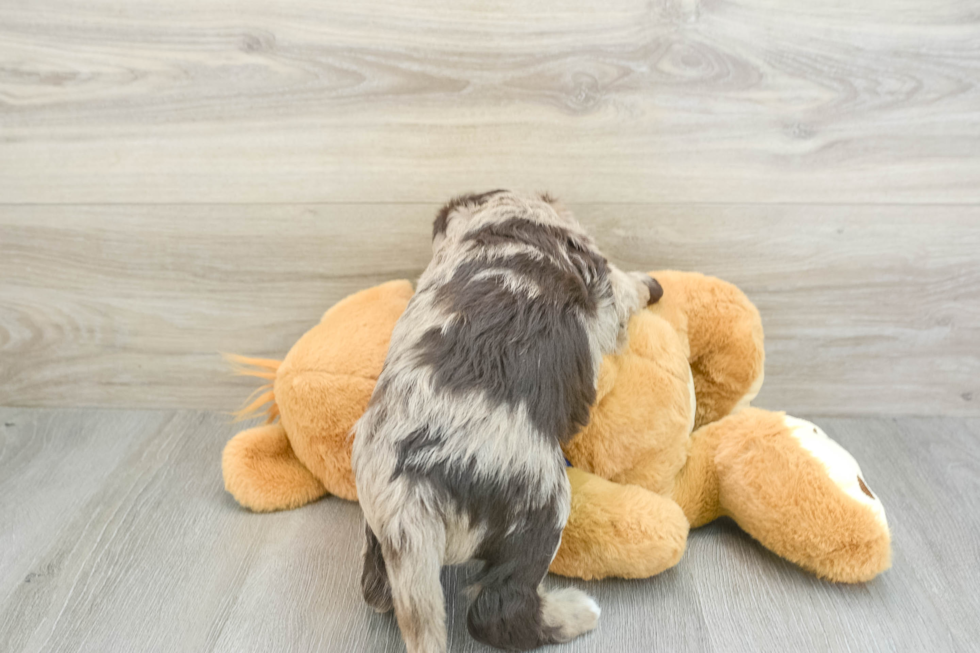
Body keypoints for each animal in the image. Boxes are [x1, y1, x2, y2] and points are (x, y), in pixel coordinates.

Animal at [348, 190, 664, 652]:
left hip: (379, 535)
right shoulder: (604, 282)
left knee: (377, 592)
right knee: (497, 610)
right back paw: (577, 613)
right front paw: (652, 284)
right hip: (542, 505)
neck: (503, 215)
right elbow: (628, 285)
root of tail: (409, 499)